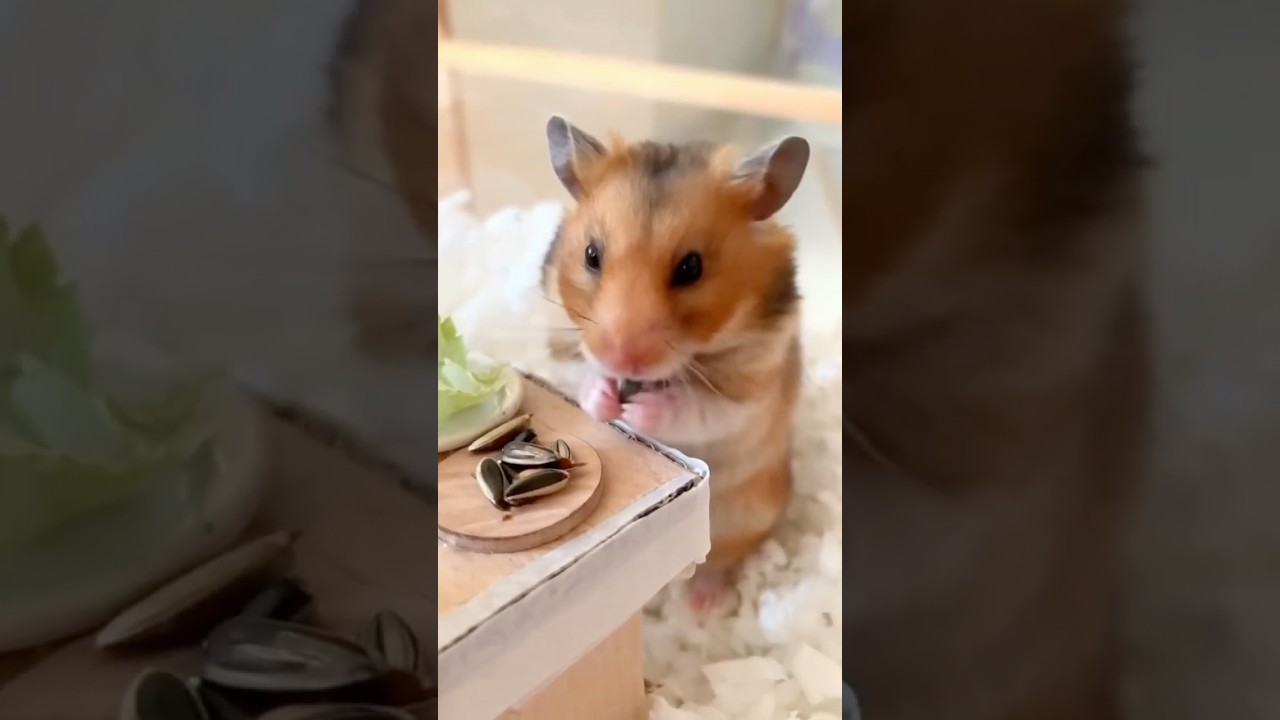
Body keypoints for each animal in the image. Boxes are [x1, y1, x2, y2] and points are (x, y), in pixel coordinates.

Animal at [540, 116, 810, 611]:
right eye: (591, 255)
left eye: (691, 268)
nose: (621, 359)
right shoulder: (561, 344)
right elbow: (577, 380)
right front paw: (605, 398)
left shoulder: (752, 385)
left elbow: (700, 407)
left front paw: (642, 409)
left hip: (750, 510)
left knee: (722, 556)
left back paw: (703, 602)